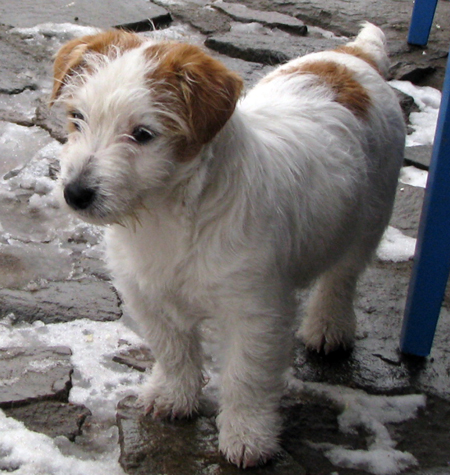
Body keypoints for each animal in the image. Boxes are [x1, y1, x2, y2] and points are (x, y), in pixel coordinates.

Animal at [51, 23, 406, 468]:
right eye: (77, 118)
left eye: (143, 134)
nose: (75, 193)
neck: (167, 215)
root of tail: (354, 56)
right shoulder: (147, 293)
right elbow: (173, 351)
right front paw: (174, 396)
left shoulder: (255, 312)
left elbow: (246, 377)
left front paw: (247, 436)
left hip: (370, 218)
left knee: (342, 278)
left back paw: (329, 326)